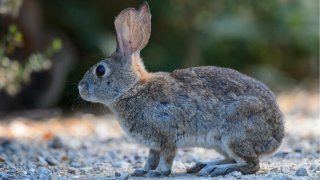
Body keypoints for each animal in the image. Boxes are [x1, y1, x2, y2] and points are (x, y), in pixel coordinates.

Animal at [78, 2, 284, 177]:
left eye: (100, 70)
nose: (80, 88)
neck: (131, 88)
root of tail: (276, 136)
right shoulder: (154, 144)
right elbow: (151, 158)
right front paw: (143, 171)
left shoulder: (167, 135)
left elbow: (166, 158)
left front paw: (158, 173)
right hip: (220, 143)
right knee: (233, 158)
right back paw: (204, 165)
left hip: (234, 134)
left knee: (251, 164)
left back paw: (217, 169)